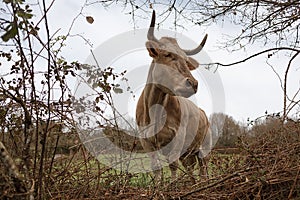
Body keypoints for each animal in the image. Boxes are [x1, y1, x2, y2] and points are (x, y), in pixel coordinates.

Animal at [137, 10, 211, 183]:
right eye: (167, 54)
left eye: (185, 59)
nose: (193, 83)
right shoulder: (146, 141)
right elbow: (156, 167)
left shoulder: (178, 137)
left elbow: (172, 165)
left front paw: (173, 185)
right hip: (188, 153)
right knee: (190, 169)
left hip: (204, 148)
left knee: (203, 169)